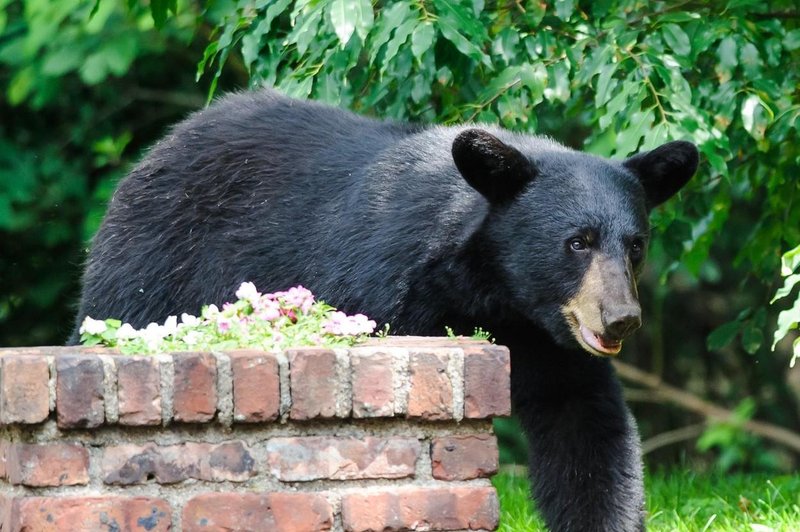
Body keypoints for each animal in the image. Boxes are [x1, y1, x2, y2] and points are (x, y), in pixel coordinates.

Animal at [72, 90, 696, 532]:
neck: (494, 291)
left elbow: (587, 429)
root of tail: (159, 148)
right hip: (154, 268)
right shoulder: (386, 283)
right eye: (577, 241)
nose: (620, 318)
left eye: (635, 244)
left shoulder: (550, 340)